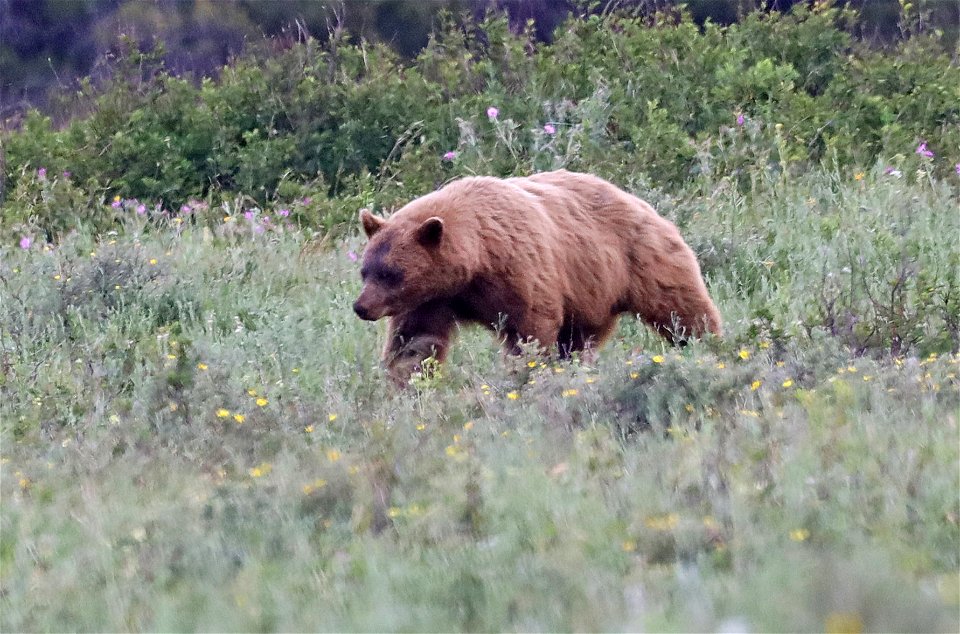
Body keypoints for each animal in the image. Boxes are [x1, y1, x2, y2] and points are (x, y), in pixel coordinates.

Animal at [354, 168, 720, 382]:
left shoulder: (518, 269)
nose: (361, 307)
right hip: (589, 292)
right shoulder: (433, 298)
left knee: (680, 306)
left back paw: (709, 344)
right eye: (365, 271)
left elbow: (529, 326)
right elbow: (415, 342)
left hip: (642, 258)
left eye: (391, 273)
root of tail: (640, 202)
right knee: (578, 340)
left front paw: (525, 372)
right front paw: (405, 383)